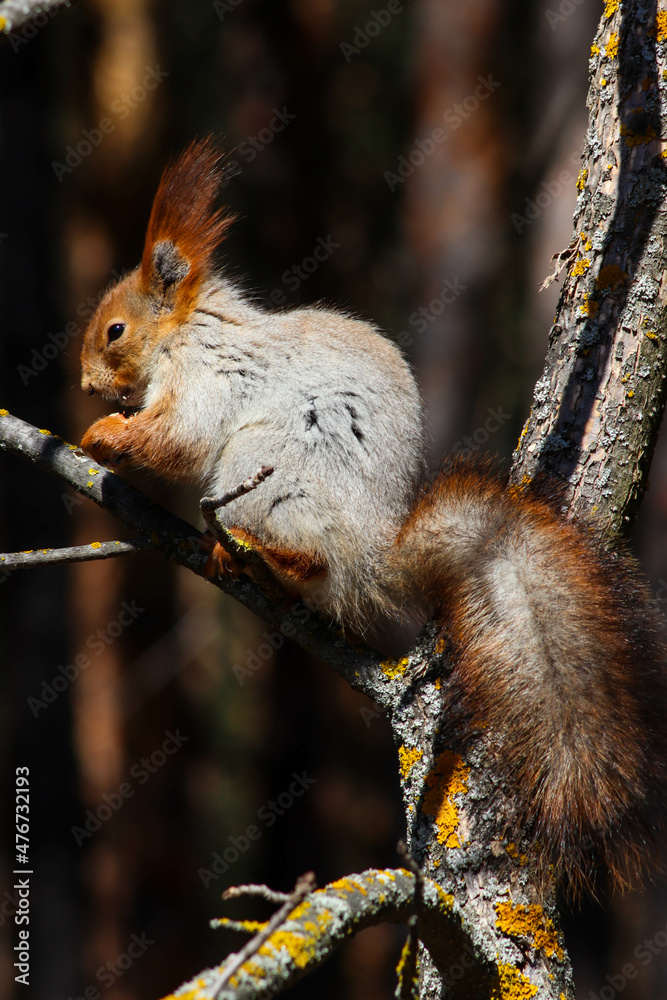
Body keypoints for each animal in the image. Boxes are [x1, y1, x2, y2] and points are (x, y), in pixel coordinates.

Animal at [80, 137, 667, 893]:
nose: (86, 387)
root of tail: (376, 561)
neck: (191, 332)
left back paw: (265, 553)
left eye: (115, 330)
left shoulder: (207, 380)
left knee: (311, 557)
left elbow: (177, 439)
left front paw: (103, 437)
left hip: (264, 467)